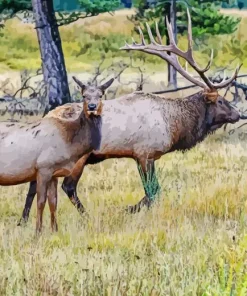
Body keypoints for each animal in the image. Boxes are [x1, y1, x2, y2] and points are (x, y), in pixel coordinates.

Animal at [0, 78, 114, 234]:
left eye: (100, 95)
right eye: (84, 95)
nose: (92, 106)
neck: (69, 142)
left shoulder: (54, 173)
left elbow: (53, 202)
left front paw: (55, 230)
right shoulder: (43, 168)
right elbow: (41, 202)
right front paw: (38, 232)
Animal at [18, 8, 242, 224]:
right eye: (220, 101)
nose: (238, 114)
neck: (175, 125)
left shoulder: (139, 155)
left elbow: (151, 190)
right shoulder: (145, 153)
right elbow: (153, 191)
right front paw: (128, 210)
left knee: (34, 185)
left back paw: (23, 220)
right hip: (76, 158)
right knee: (68, 186)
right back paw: (86, 217)